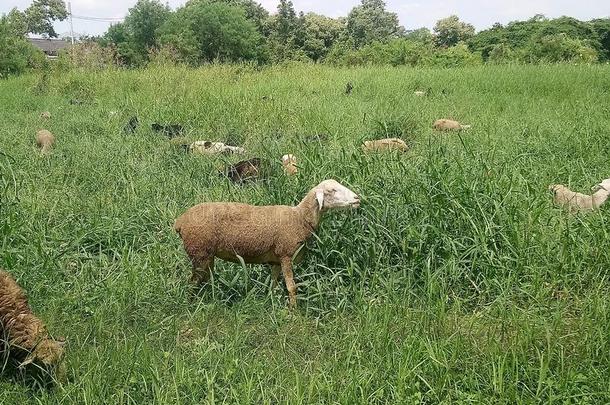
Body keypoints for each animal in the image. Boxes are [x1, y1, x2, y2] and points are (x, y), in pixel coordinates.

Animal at [173, 179, 358, 306]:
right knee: (193, 281)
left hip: (207, 254)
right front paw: (294, 311)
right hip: (198, 251)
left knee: (206, 279)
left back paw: (211, 298)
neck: (300, 218)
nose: (357, 199)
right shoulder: (286, 255)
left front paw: (272, 301)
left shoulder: (275, 260)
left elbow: (273, 284)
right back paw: (191, 304)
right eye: (332, 190)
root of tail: (180, 222)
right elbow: (292, 287)